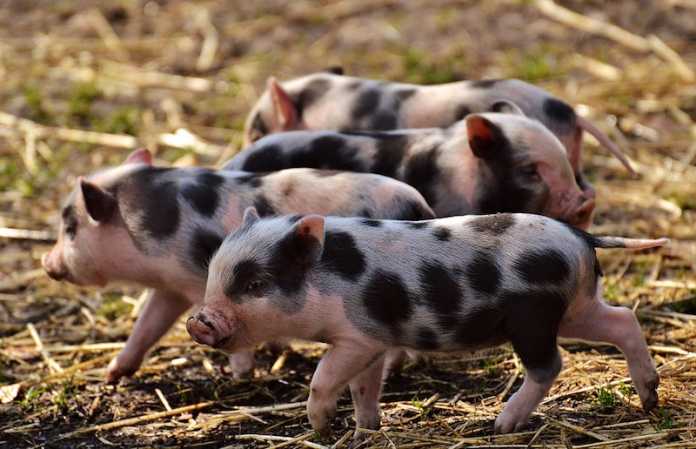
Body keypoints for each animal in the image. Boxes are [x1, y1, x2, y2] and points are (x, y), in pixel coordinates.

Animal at [41, 148, 434, 383]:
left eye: (71, 228)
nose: (47, 263)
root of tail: (418, 207)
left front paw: (242, 375)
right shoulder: (171, 286)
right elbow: (146, 326)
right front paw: (113, 375)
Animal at [189, 207, 664, 438]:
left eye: (256, 283)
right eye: (213, 275)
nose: (199, 321)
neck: (327, 280)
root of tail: (580, 237)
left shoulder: (356, 338)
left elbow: (324, 380)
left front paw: (322, 428)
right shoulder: (375, 341)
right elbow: (364, 387)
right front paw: (366, 430)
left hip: (533, 316)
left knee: (549, 365)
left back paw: (501, 426)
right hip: (576, 307)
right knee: (623, 320)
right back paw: (649, 400)